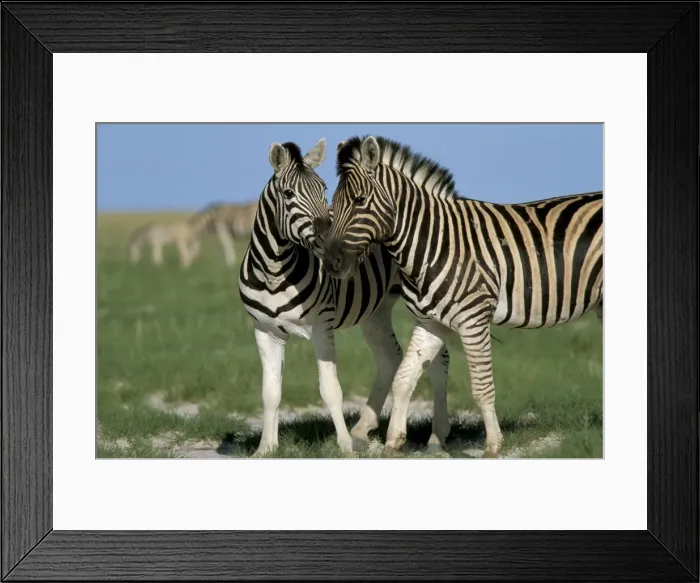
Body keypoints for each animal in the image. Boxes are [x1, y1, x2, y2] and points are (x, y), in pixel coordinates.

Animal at [238, 137, 451, 457]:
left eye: (324, 189)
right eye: (288, 194)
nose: (330, 242)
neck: (274, 271)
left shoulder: (320, 326)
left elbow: (330, 389)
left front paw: (344, 447)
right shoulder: (265, 330)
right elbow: (271, 392)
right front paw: (266, 448)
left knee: (438, 360)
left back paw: (437, 436)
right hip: (376, 309)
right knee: (390, 358)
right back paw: (363, 429)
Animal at [321, 135, 603, 458]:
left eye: (359, 201)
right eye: (333, 202)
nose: (331, 262)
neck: (433, 244)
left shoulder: (473, 320)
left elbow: (482, 388)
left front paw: (493, 447)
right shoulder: (429, 323)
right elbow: (403, 378)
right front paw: (393, 442)